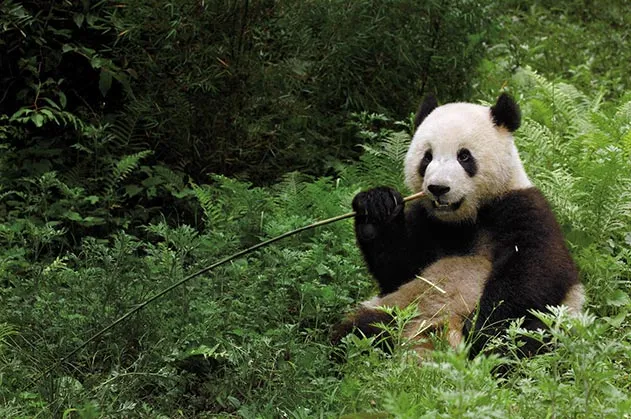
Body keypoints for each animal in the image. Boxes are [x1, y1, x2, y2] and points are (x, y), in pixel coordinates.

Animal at [334, 92, 584, 358]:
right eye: (427, 157)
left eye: (464, 156)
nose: (438, 188)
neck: (464, 219)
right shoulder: (427, 222)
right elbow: (397, 270)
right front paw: (376, 207)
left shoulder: (524, 209)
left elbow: (534, 271)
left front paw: (481, 327)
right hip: (397, 307)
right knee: (357, 331)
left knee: (526, 335)